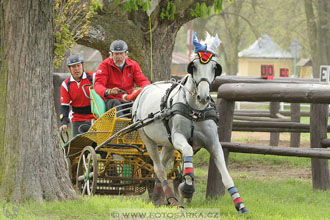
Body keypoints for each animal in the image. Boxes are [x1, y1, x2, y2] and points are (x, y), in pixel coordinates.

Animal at [133, 32, 249, 213]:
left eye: (215, 68)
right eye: (193, 66)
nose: (203, 97)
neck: (195, 111)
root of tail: (144, 90)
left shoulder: (213, 143)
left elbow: (225, 174)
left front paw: (240, 205)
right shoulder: (178, 138)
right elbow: (187, 153)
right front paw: (187, 189)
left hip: (167, 144)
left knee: (161, 165)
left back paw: (160, 197)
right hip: (147, 138)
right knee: (159, 168)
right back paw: (172, 198)